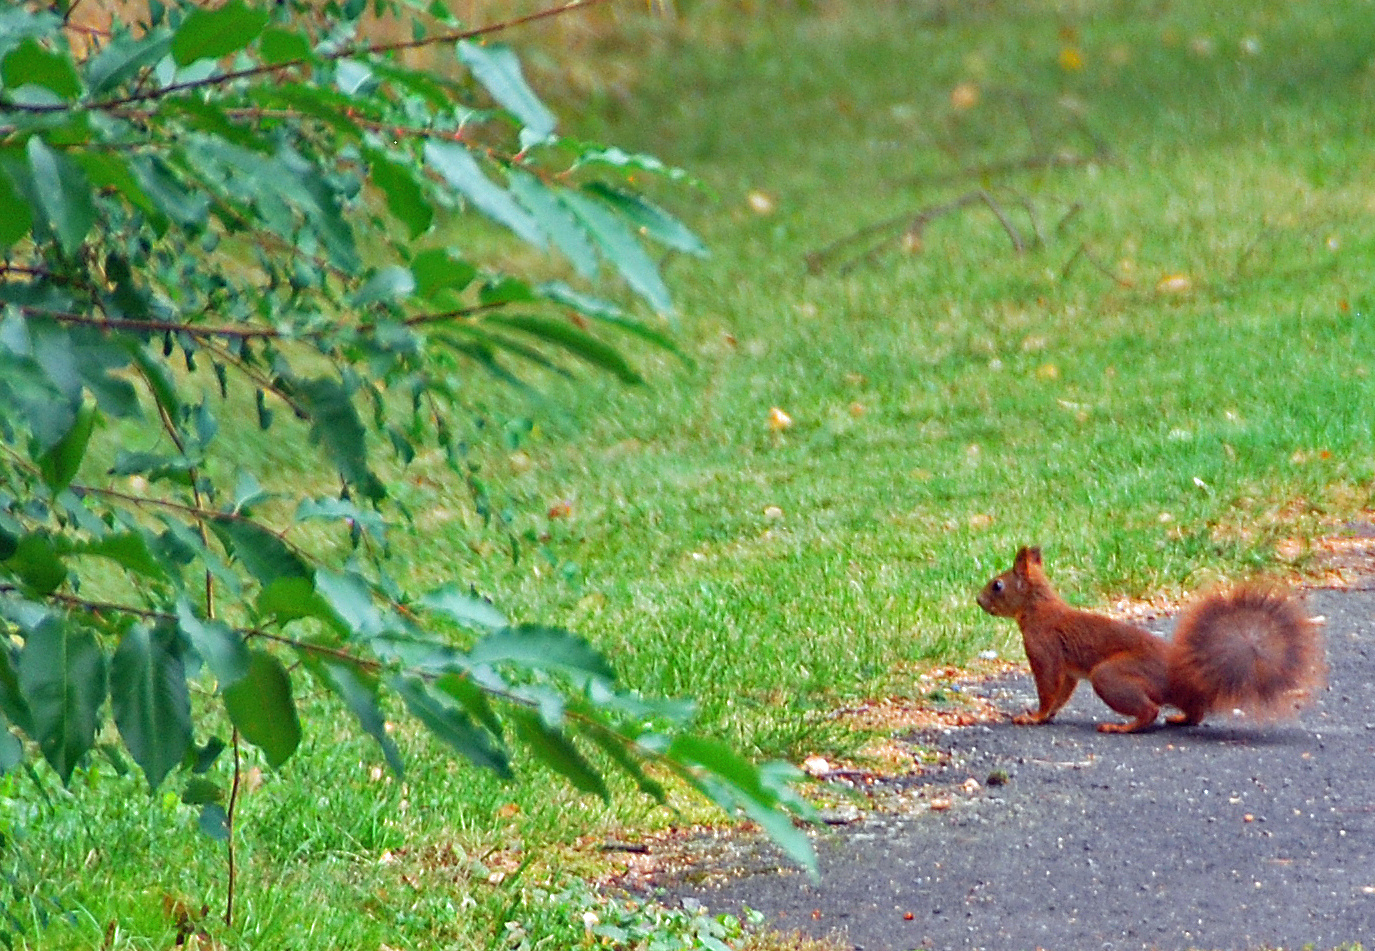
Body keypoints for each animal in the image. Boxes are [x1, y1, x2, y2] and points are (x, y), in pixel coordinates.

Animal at [973, 541, 1325, 736]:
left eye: (997, 585)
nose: (978, 600)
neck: (1038, 608)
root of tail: (1182, 675)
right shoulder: (1068, 670)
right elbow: (1062, 693)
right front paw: (1047, 716)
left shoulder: (1042, 647)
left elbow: (1048, 687)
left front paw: (1033, 716)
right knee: (1195, 712)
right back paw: (1180, 719)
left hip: (1110, 675)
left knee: (1149, 712)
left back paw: (1121, 727)